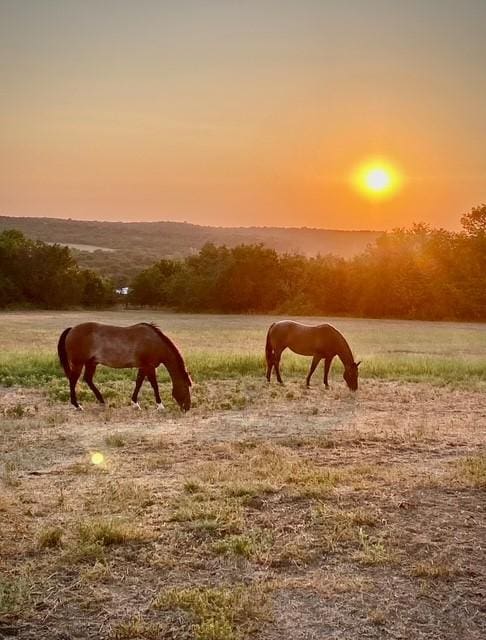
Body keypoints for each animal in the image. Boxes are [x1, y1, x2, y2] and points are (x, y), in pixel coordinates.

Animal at [57, 322, 192, 412]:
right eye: (186, 388)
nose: (187, 408)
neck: (154, 342)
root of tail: (72, 329)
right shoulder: (149, 366)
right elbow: (154, 384)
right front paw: (160, 405)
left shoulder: (143, 367)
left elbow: (139, 382)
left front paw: (135, 403)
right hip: (78, 363)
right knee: (73, 381)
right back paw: (77, 405)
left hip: (91, 363)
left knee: (88, 379)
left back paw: (102, 401)